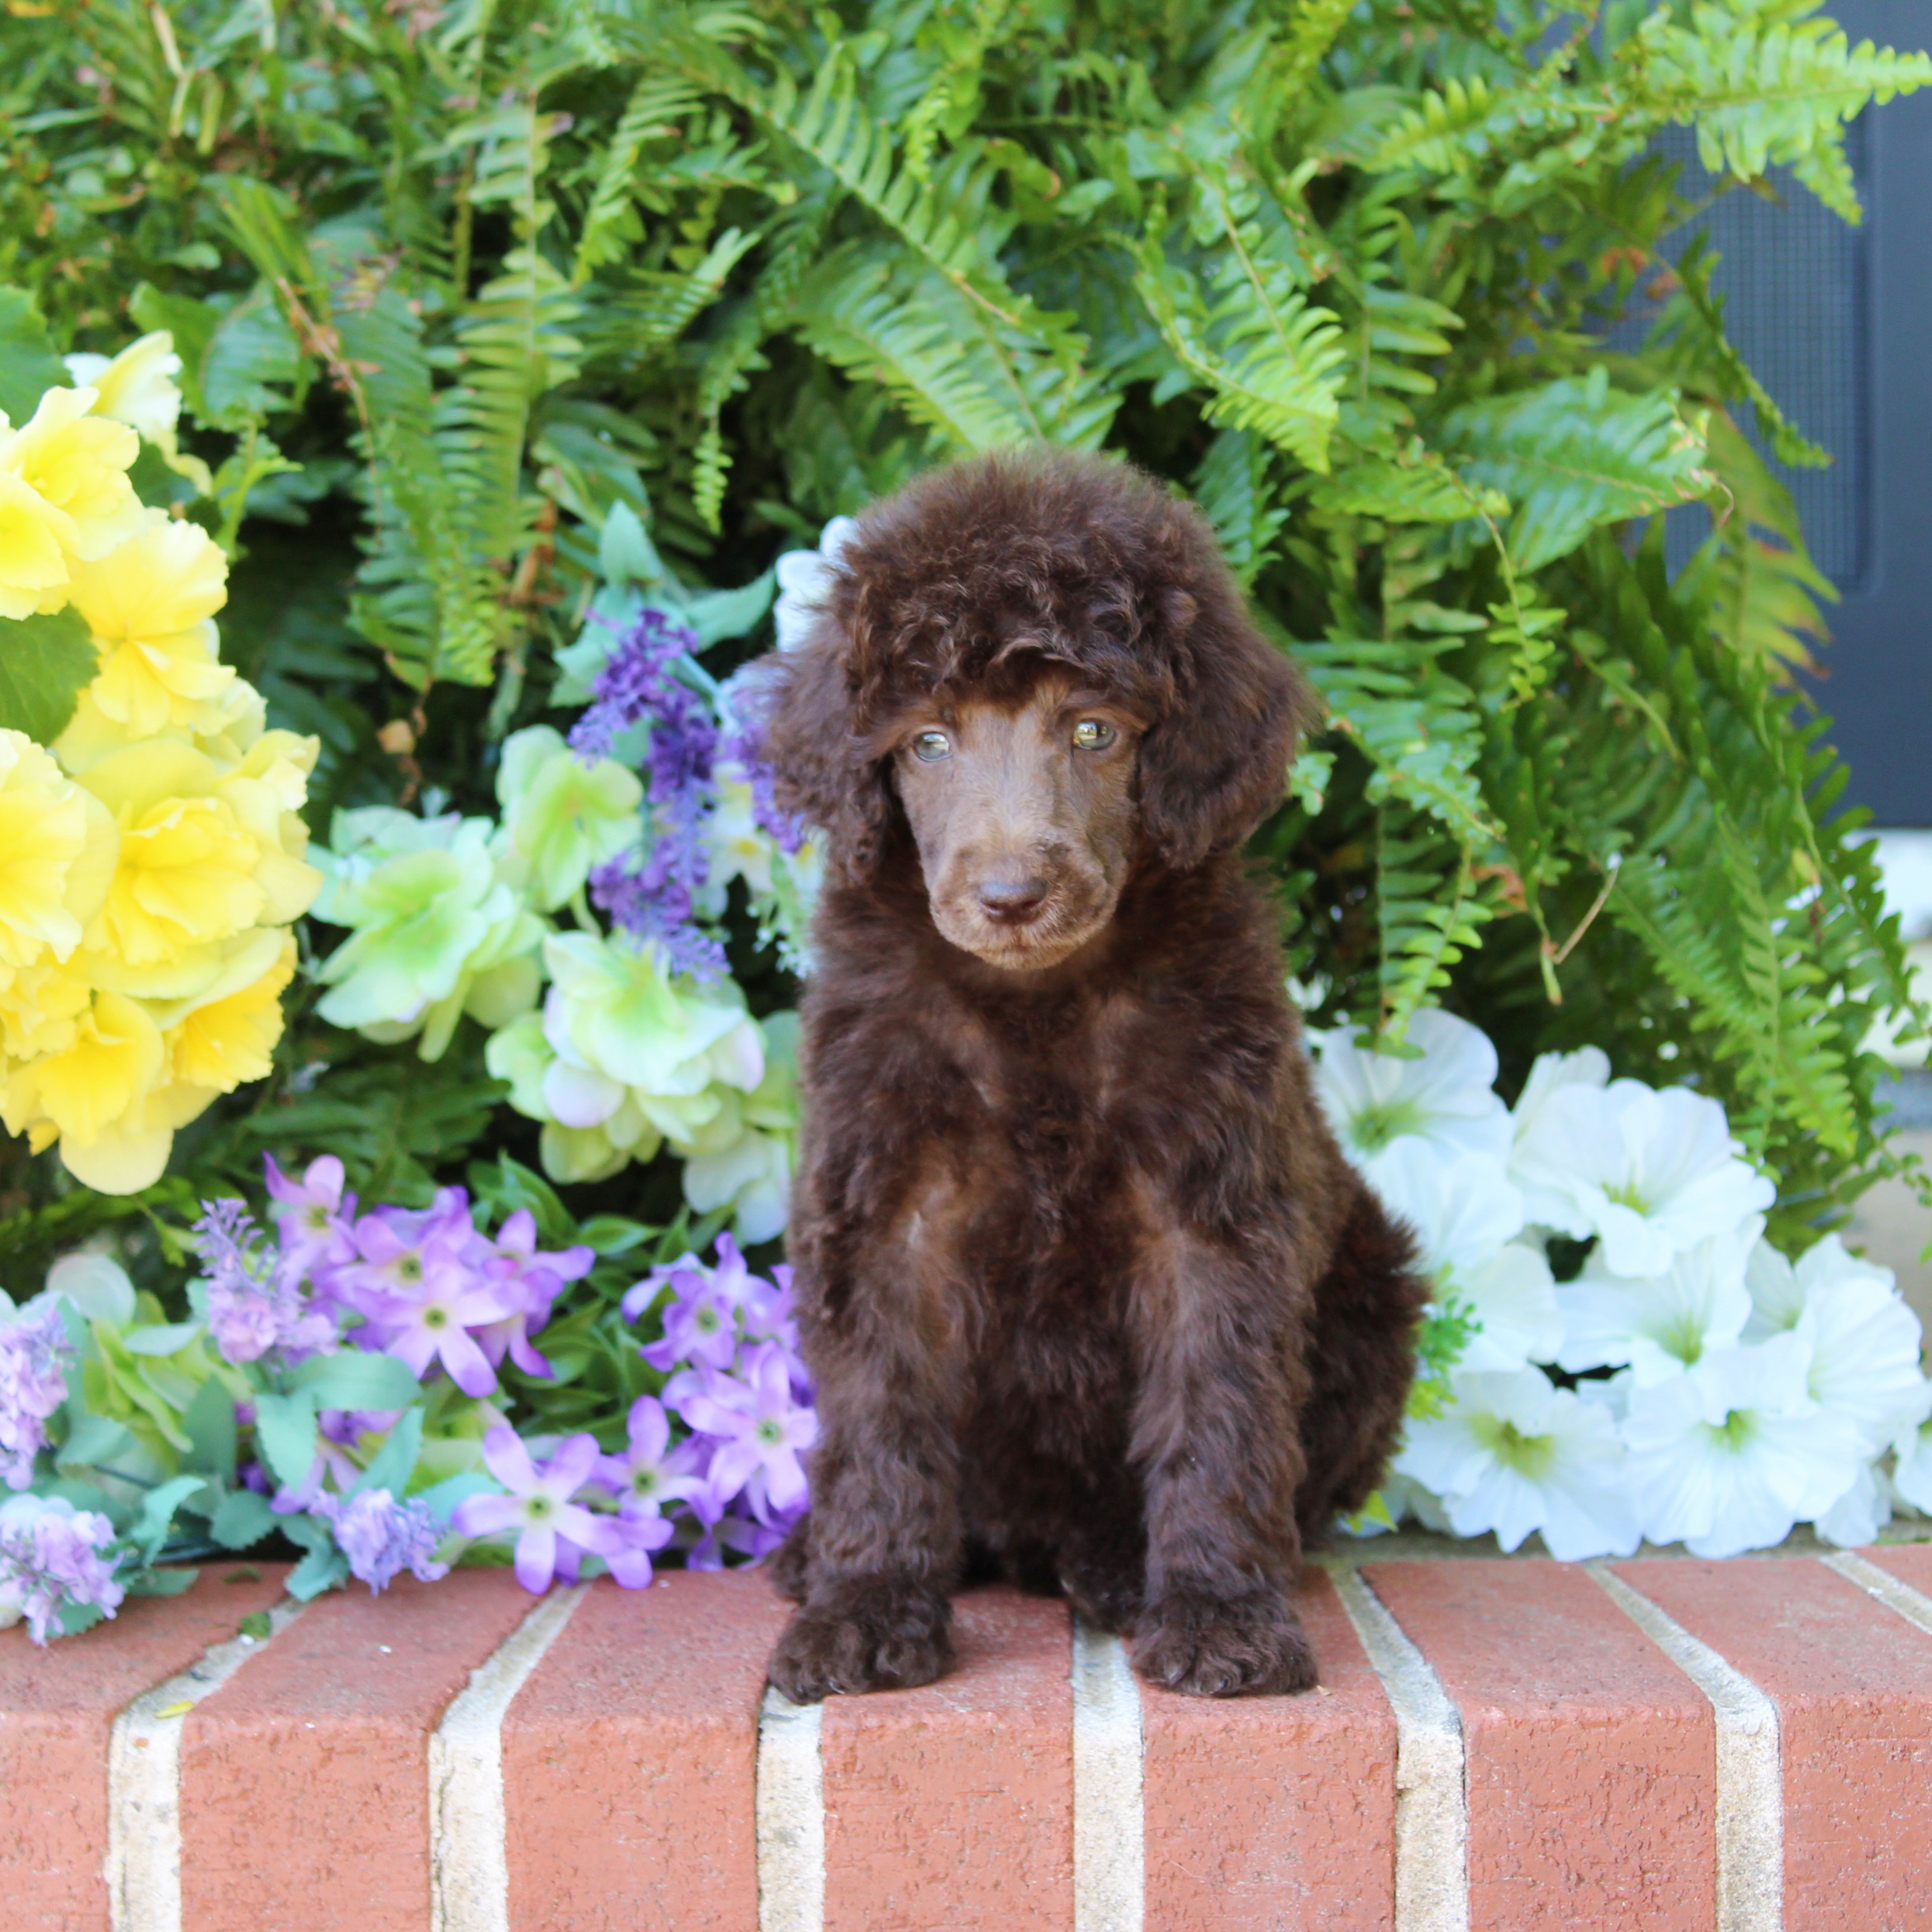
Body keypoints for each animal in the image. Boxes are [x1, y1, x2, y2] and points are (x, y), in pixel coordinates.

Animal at [753, 444, 1437, 1700]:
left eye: (1093, 733)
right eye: (927, 742)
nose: (1011, 896)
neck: (1040, 1007)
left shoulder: (1213, 1209)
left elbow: (1217, 1415)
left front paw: (1220, 1616)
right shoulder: (883, 1204)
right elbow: (881, 1420)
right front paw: (863, 1606)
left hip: (1375, 1288)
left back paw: (1120, 1562)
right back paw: (814, 1552)